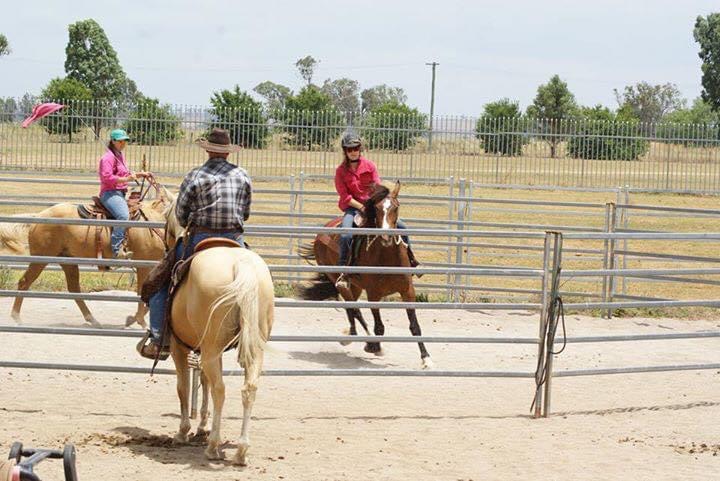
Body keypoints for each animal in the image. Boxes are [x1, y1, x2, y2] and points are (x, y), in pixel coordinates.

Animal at [7, 189, 172, 328]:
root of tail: (39, 216)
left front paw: (134, 320)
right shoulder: (144, 266)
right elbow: (142, 294)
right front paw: (138, 321)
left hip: (67, 261)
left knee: (74, 289)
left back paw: (92, 319)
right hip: (40, 259)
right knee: (24, 282)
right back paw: (16, 317)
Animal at [162, 197, 274, 464]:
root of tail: (240, 264)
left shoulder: (179, 347)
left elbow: (183, 386)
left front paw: (184, 432)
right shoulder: (203, 349)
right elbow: (202, 380)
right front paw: (201, 426)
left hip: (211, 348)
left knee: (220, 389)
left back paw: (213, 446)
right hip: (251, 348)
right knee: (248, 387)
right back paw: (241, 450)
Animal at [298, 182, 434, 370]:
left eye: (396, 207)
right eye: (376, 208)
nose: (386, 237)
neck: (386, 257)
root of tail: (322, 232)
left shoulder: (408, 291)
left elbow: (415, 326)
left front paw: (426, 358)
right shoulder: (373, 294)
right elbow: (379, 327)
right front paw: (375, 347)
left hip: (355, 285)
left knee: (351, 307)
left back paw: (351, 334)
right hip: (337, 279)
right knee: (354, 309)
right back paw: (365, 340)